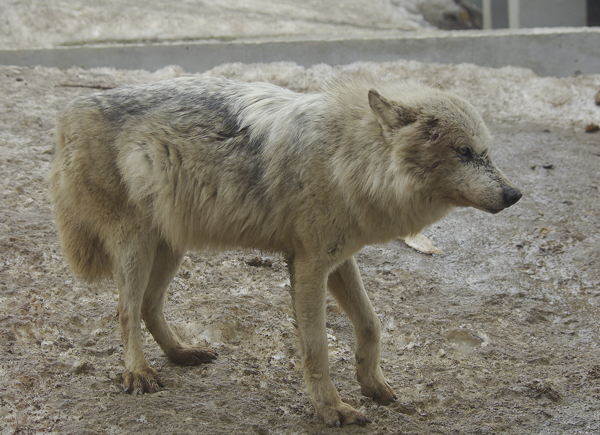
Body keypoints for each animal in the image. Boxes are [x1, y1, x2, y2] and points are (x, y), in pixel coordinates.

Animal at [48, 76, 520, 428]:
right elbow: (316, 347)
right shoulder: (309, 264)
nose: (515, 194)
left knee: (148, 305)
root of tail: (69, 110)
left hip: (170, 248)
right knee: (126, 310)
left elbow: (371, 325)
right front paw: (331, 409)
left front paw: (372, 384)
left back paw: (182, 354)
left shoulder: (338, 259)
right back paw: (139, 373)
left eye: (488, 152)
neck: (346, 157)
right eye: (465, 152)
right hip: (137, 246)